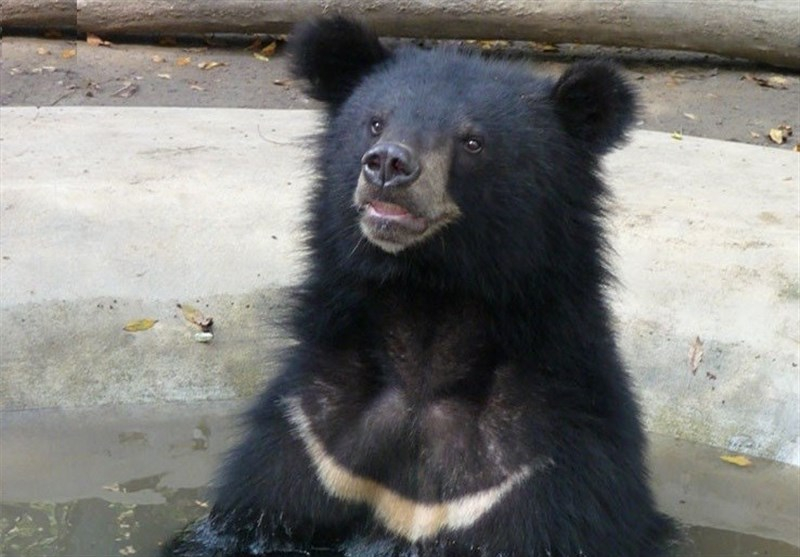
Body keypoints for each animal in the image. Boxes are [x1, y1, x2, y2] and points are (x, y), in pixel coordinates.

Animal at [166, 15, 680, 552]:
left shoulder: (539, 476)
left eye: (473, 141)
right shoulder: (312, 442)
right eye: (376, 121)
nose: (388, 164)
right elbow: (250, 520)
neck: (427, 305)